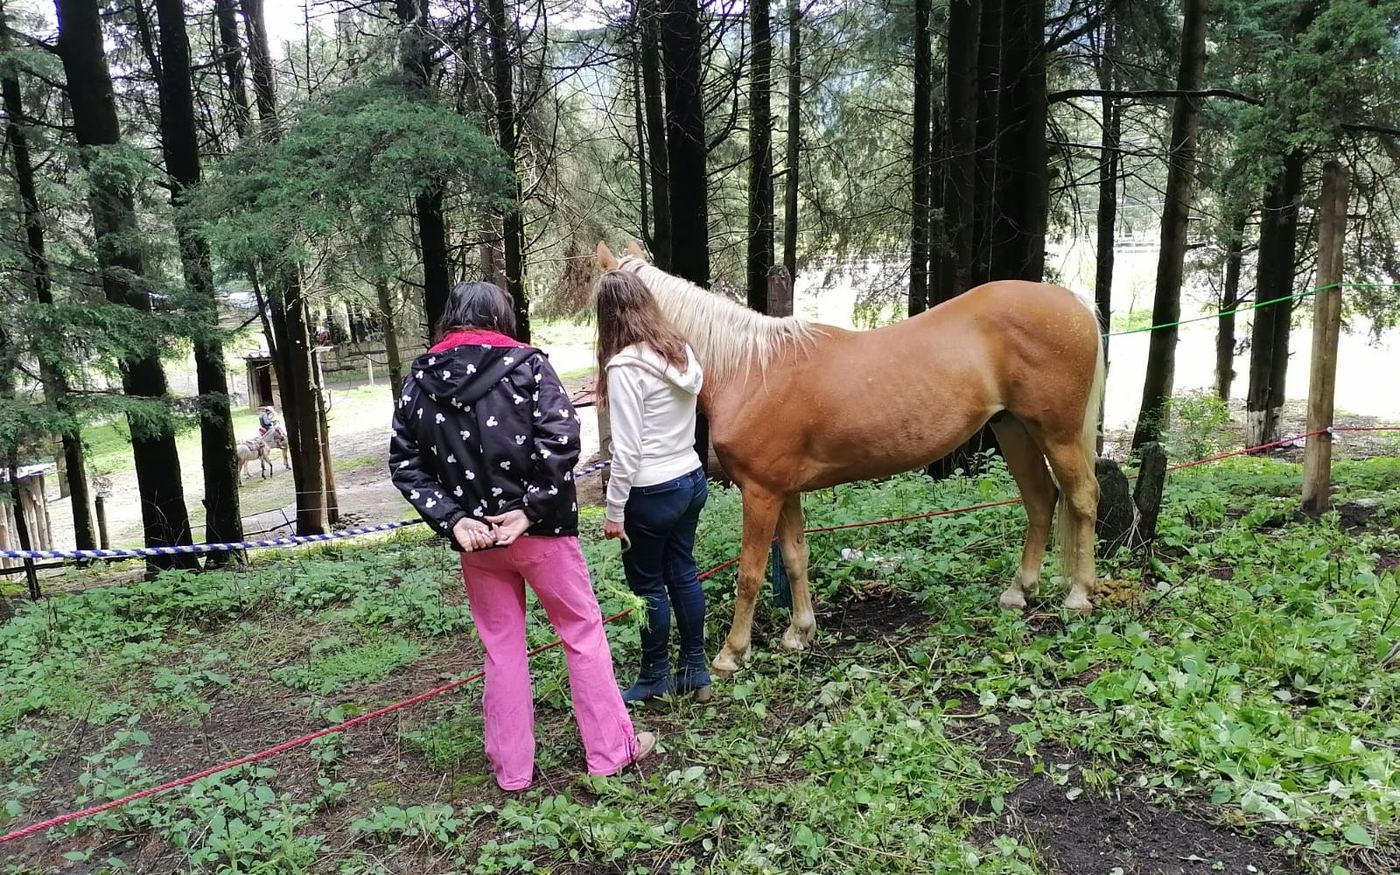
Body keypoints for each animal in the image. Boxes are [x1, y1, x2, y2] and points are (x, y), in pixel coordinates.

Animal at [595, 241, 1105, 677]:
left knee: (1081, 497)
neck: (748, 371)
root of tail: (1073, 302)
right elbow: (795, 558)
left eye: (602, 312)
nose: (601, 389)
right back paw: (1019, 592)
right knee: (1041, 500)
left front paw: (731, 654)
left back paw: (1079, 596)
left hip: (1056, 434)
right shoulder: (785, 492)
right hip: (1013, 428)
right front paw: (799, 633)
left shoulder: (760, 493)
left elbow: (749, 573)